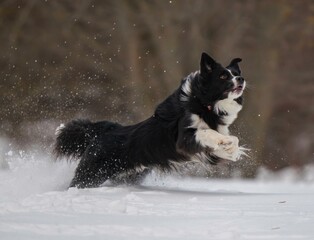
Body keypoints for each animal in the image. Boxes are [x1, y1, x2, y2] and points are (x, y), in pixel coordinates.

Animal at [55, 52, 248, 188]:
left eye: (236, 73)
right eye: (223, 76)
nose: (241, 78)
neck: (204, 102)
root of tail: (102, 132)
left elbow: (232, 139)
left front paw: (231, 149)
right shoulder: (184, 139)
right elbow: (207, 132)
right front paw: (226, 143)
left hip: (129, 175)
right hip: (91, 173)